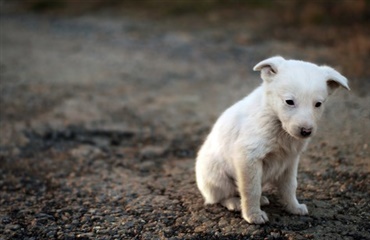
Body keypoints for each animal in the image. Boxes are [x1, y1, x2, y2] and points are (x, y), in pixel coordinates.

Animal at [197, 56, 350, 225]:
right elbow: (251, 189)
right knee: (220, 197)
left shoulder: (290, 160)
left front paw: (293, 207)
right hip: (217, 177)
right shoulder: (248, 157)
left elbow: (290, 186)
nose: (306, 132)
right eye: (289, 101)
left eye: (318, 104)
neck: (276, 121)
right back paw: (235, 202)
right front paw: (253, 215)